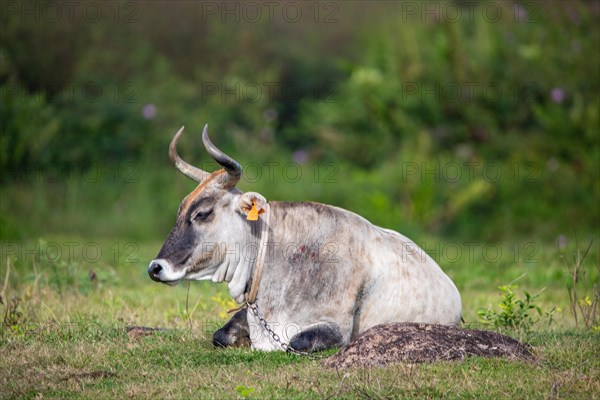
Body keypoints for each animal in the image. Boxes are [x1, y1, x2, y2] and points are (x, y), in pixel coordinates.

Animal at [148, 123, 462, 352]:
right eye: (180, 211)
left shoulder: (335, 328)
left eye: (202, 213)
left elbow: (296, 342)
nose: (155, 267)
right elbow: (221, 335)